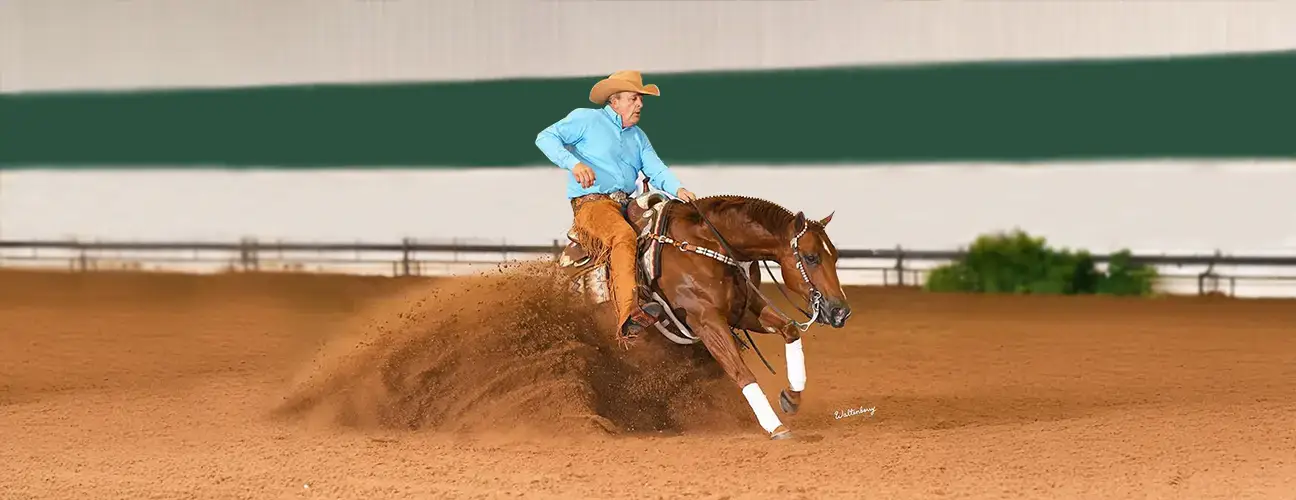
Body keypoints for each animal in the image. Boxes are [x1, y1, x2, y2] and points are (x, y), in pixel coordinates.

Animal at [557, 189, 852, 440]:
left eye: (835, 257)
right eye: (811, 257)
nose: (841, 311)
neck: (705, 247)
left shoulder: (743, 312)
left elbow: (790, 330)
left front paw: (791, 397)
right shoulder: (706, 321)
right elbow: (740, 372)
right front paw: (775, 426)